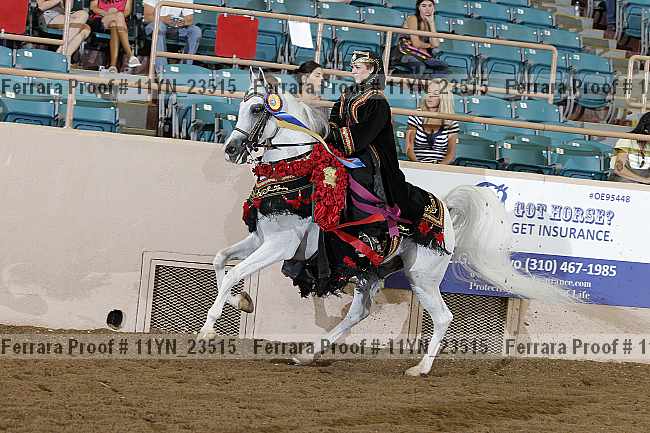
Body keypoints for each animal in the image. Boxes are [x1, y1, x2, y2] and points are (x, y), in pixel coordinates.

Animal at [198, 69, 573, 376]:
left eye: (257, 109)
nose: (231, 148)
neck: (297, 171)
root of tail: (446, 212)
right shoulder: (262, 239)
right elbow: (220, 260)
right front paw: (241, 302)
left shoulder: (282, 245)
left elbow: (232, 271)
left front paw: (207, 330)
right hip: (369, 270)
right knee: (358, 313)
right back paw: (307, 354)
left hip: (422, 277)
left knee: (443, 317)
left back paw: (420, 368)